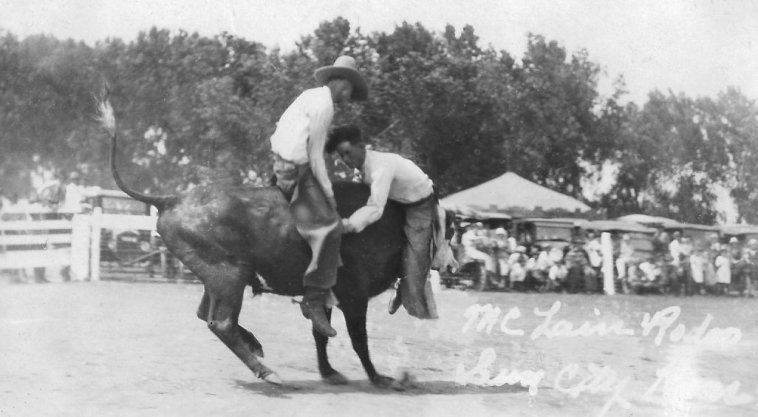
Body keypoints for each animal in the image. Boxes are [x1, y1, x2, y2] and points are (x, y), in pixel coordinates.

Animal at [95, 96, 452, 386]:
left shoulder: (326, 295)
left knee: (205, 314)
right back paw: (267, 372)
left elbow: (320, 333)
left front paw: (330, 372)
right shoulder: (354, 295)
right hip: (229, 274)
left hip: (216, 278)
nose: (450, 264)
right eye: (445, 228)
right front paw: (379, 377)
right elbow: (357, 339)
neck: (389, 218)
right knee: (221, 322)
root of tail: (173, 199)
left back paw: (255, 346)